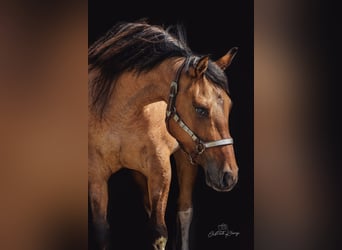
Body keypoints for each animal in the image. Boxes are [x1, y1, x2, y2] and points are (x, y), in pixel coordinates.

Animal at [88, 21, 238, 250]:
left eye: (229, 106)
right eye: (200, 108)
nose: (230, 175)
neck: (119, 114)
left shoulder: (160, 170)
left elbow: (159, 233)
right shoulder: (96, 176)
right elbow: (102, 234)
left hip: (187, 158)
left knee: (184, 211)